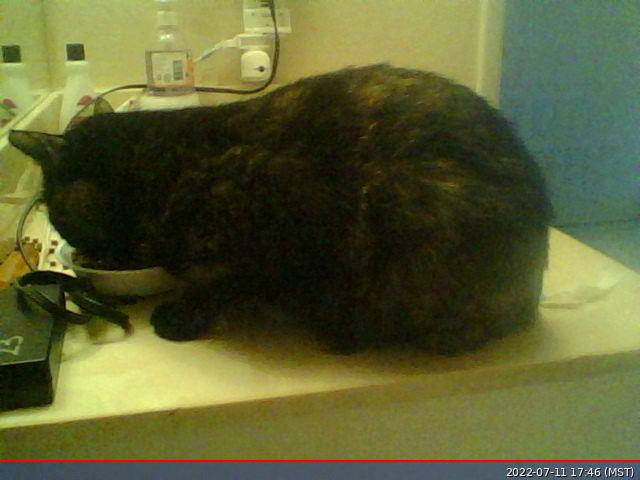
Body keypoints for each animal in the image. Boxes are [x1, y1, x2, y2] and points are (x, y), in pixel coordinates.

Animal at [9, 64, 553, 354]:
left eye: (56, 212)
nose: (70, 245)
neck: (163, 166)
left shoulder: (276, 226)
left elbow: (216, 284)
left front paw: (180, 318)